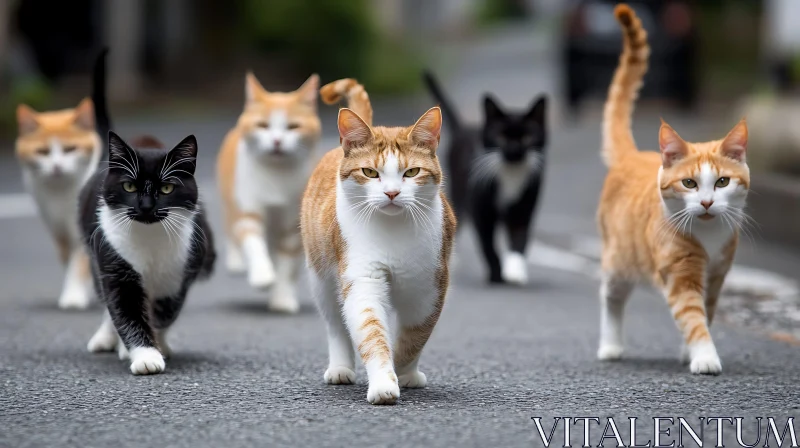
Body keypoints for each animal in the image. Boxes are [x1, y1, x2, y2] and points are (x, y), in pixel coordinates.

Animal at [15, 100, 101, 308]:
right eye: (42, 152)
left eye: (70, 149)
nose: (56, 166)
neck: (60, 193)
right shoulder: (57, 229)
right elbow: (68, 260)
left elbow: (78, 263)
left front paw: (74, 297)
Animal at [79, 48, 214, 374]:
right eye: (129, 186)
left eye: (166, 189)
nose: (146, 206)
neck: (150, 239)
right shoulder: (113, 261)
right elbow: (124, 309)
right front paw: (144, 356)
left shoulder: (183, 269)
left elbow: (165, 311)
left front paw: (155, 345)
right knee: (104, 299)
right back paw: (106, 339)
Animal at [219, 72, 322, 312]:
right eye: (263, 126)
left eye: (293, 127)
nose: (277, 141)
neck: (276, 176)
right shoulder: (247, 211)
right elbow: (254, 244)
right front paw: (262, 276)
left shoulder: (292, 227)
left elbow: (286, 265)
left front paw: (282, 298)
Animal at [422, 72, 548, 286]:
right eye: (500, 137)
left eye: (527, 138)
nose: (514, 150)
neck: (509, 173)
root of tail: (464, 128)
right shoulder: (482, 209)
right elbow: (487, 244)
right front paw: (496, 274)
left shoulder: (525, 205)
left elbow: (519, 238)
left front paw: (514, 270)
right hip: (460, 190)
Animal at [592, 4, 752, 374]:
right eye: (689, 183)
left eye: (722, 182)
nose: (706, 202)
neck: (709, 237)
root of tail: (633, 155)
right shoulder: (681, 274)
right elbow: (693, 317)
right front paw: (705, 357)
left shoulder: (716, 275)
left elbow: (706, 313)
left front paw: (688, 352)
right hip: (619, 259)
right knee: (610, 296)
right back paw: (610, 346)